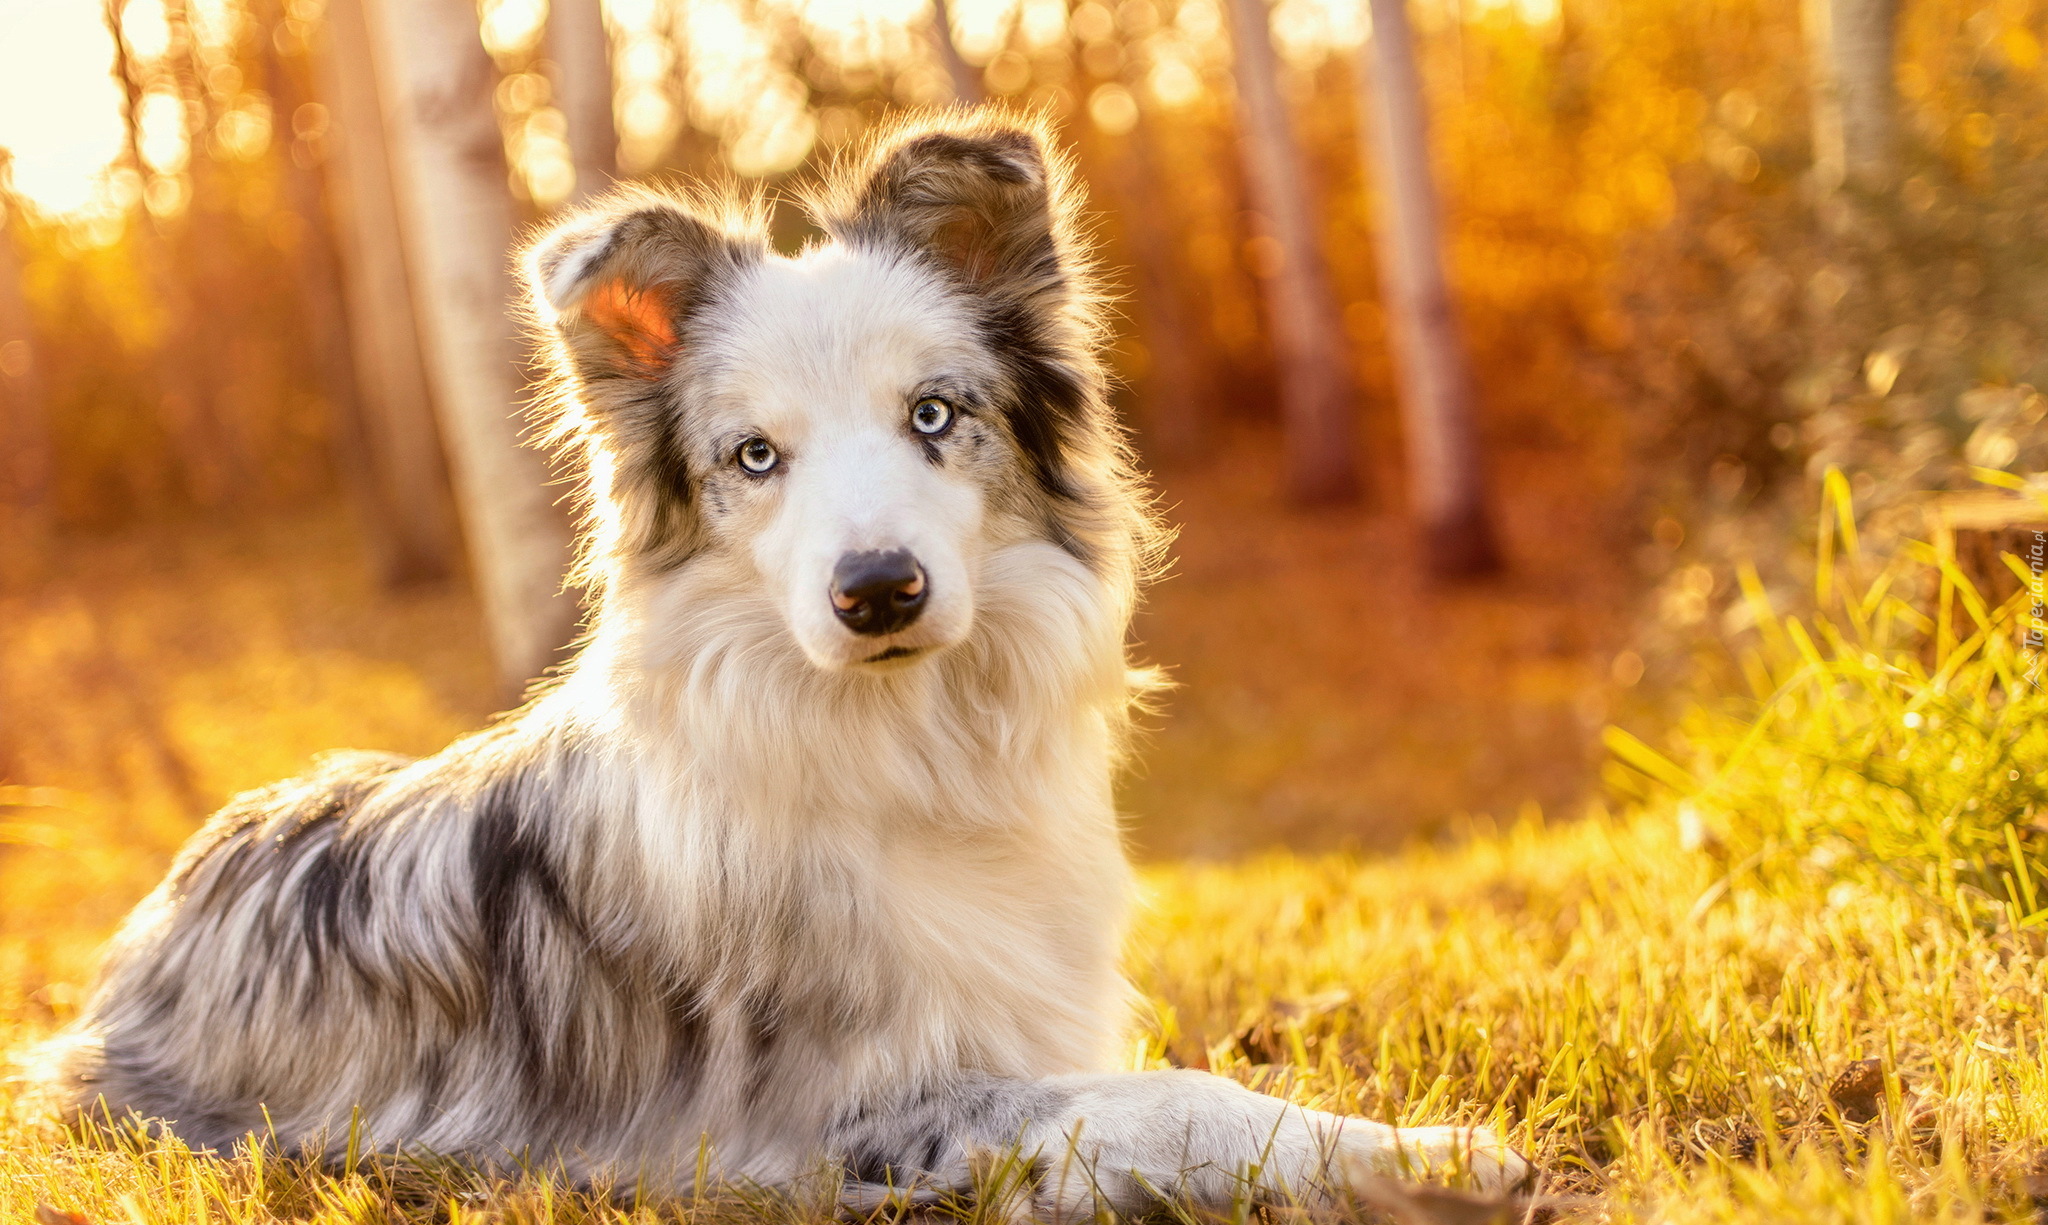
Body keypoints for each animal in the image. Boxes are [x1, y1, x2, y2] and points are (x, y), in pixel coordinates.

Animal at [44, 117, 1523, 1220]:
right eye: (757, 456)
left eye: (933, 413)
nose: (877, 591)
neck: (906, 739)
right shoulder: (844, 1120)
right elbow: (1178, 1098)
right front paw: (1429, 1151)